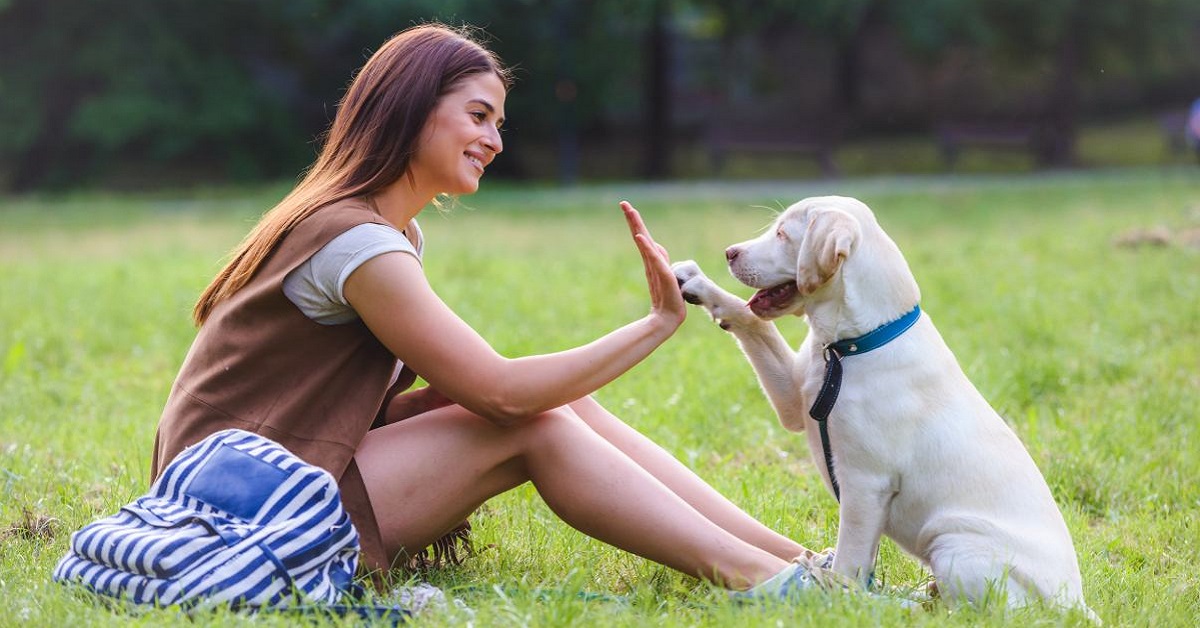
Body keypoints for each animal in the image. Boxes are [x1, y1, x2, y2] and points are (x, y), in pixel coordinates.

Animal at [676, 198, 1099, 619]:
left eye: (782, 234)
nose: (729, 252)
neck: (850, 348)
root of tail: (1075, 603)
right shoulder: (795, 403)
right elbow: (752, 321)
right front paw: (695, 282)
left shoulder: (865, 483)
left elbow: (849, 559)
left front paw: (837, 599)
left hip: (956, 545)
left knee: (978, 612)